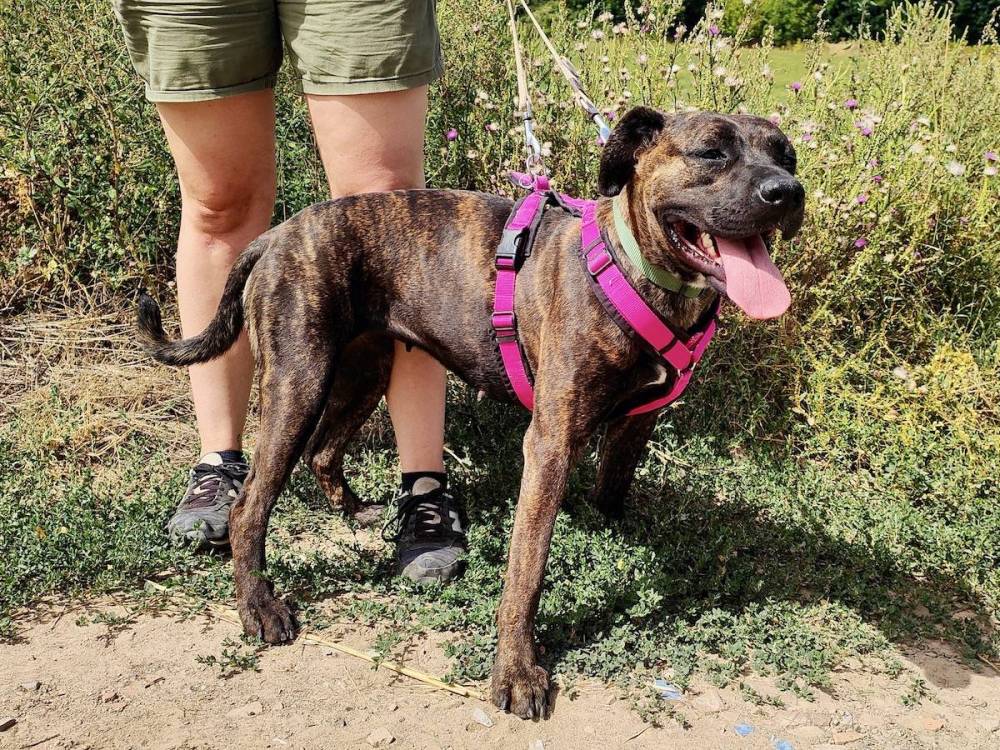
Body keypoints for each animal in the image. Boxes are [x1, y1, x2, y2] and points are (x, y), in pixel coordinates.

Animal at [138, 107, 804, 719]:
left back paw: (356, 511)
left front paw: (613, 537)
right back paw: (259, 606)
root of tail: (276, 236)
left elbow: (613, 489)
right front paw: (517, 671)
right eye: (712, 152)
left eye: (788, 155)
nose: (787, 192)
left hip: (362, 369)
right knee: (252, 502)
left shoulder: (635, 424)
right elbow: (526, 571)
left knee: (324, 451)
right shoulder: (550, 445)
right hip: (299, 379)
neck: (636, 270)